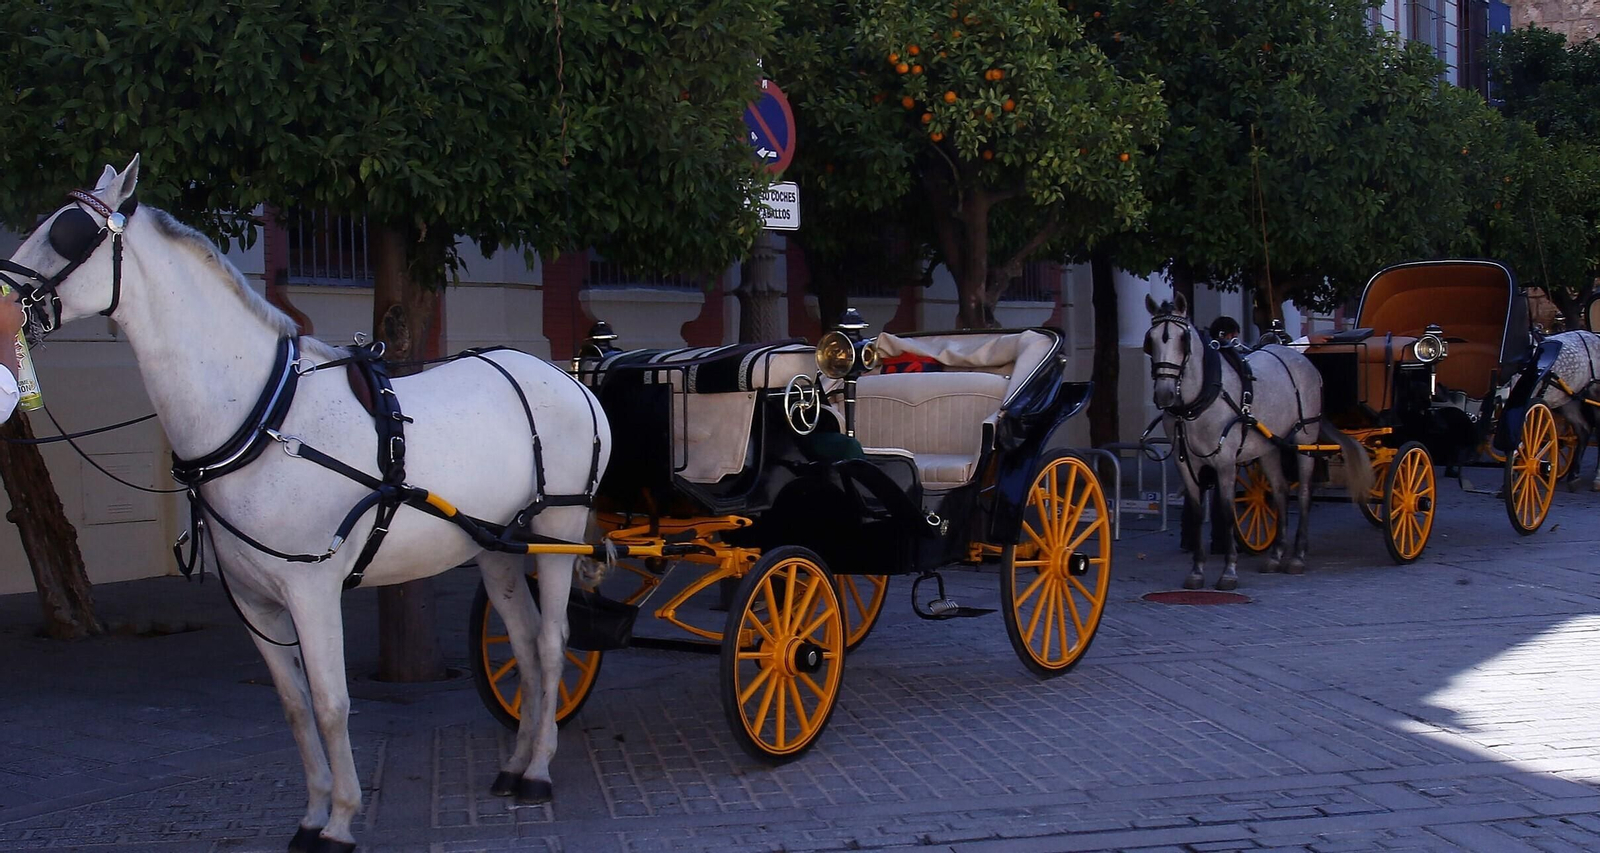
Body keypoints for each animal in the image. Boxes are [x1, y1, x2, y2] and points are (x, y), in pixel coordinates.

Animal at [1, 157, 610, 852]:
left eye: (68, 232)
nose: (1, 297)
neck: (264, 420)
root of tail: (567, 378)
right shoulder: (253, 599)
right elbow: (295, 707)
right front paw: (314, 812)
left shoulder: (311, 589)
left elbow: (330, 703)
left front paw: (342, 820)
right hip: (495, 545)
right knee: (525, 642)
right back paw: (515, 763)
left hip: (559, 526)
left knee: (554, 642)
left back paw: (538, 770)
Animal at [1143, 294, 1371, 590]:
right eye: (1150, 341)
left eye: (1183, 339)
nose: (1165, 394)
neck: (1198, 401)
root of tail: (1296, 356)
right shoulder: (1185, 463)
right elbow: (1196, 513)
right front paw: (1197, 570)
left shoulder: (1225, 462)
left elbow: (1227, 510)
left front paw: (1229, 570)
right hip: (1269, 447)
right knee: (1281, 491)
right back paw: (1276, 555)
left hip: (1305, 439)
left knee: (1304, 493)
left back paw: (1297, 556)